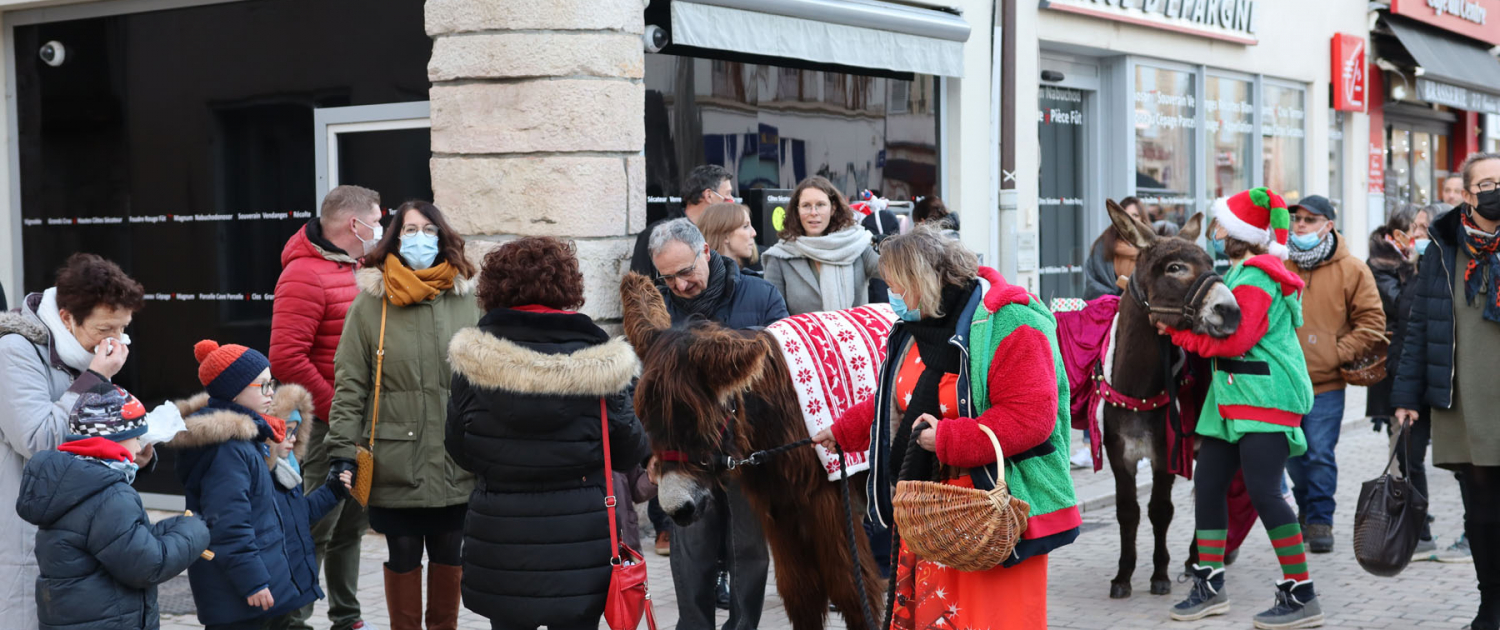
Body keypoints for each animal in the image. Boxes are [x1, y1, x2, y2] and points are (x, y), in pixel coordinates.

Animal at [619, 272, 883, 630]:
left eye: (695, 420)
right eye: (645, 420)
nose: (678, 509)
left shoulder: (827, 498)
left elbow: (852, 589)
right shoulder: (782, 507)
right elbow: (801, 592)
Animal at [1095, 201, 1242, 599]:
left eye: (1209, 261)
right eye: (1175, 267)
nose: (1231, 312)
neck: (1138, 390)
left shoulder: (1167, 451)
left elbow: (1161, 509)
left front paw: (1159, 575)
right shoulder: (1119, 453)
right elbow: (1127, 511)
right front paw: (1122, 576)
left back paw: (1199, 559)